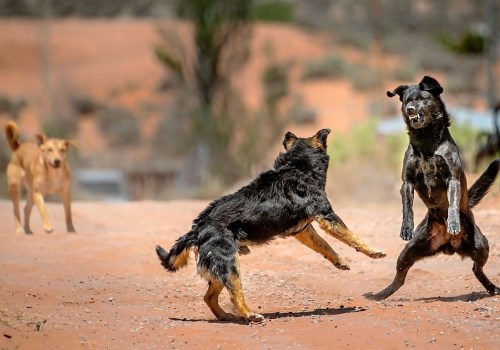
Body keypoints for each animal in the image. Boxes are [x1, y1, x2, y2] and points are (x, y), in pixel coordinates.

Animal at [156, 129, 386, 322]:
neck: (298, 167)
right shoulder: (326, 216)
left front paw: (339, 261)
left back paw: (226, 316)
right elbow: (353, 238)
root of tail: (197, 229)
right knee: (234, 295)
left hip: (220, 269)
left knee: (209, 297)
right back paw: (250, 315)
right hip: (230, 265)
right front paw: (374, 252)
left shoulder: (304, 230)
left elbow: (324, 246)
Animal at [366, 76, 498, 300]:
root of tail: (448, 245)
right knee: (400, 277)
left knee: (476, 269)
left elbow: (452, 204)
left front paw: (453, 223)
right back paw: (379, 295)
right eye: (406, 101)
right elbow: (407, 208)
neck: (426, 143)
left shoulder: (452, 179)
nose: (409, 109)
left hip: (481, 246)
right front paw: (405, 228)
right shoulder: (407, 182)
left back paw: (492, 288)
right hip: (409, 250)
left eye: (421, 98)